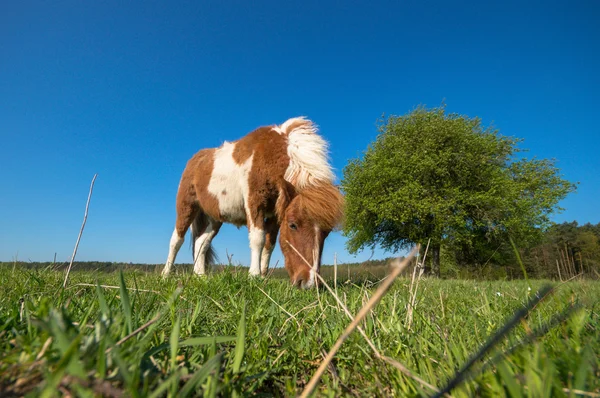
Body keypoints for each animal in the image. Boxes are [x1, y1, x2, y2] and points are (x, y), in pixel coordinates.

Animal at [162, 116, 344, 288]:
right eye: (293, 225)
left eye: (327, 232)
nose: (309, 284)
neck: (269, 154)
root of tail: (195, 159)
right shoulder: (254, 203)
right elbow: (258, 238)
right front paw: (254, 276)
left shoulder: (276, 213)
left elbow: (269, 244)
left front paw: (263, 276)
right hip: (187, 206)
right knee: (176, 240)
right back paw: (165, 274)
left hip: (214, 217)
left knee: (201, 242)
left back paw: (201, 276)